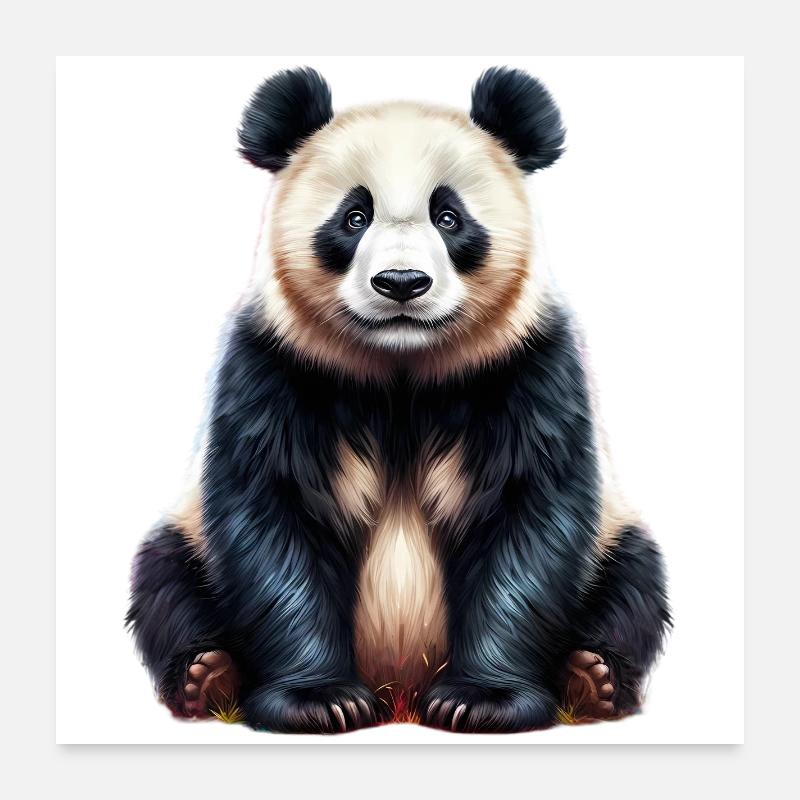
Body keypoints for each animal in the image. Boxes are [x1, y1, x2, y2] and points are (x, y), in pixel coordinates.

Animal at [127, 66, 670, 734]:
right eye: (354, 216)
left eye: (450, 217)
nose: (402, 283)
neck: (400, 367)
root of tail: (400, 690)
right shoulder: (274, 367)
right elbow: (273, 517)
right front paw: (319, 701)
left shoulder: (528, 367)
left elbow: (530, 517)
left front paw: (481, 701)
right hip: (189, 537)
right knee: (164, 579)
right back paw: (207, 676)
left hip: (613, 540)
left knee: (634, 582)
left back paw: (593, 679)